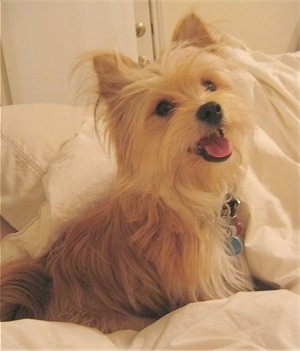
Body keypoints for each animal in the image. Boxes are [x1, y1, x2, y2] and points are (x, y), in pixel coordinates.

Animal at [1, 13, 256, 332]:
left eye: (209, 85)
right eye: (163, 108)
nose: (210, 109)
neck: (188, 196)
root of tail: (45, 287)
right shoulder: (205, 289)